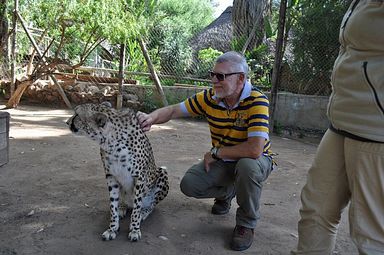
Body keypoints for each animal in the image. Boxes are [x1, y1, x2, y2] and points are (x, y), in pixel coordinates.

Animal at [67, 101, 169, 241]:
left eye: (77, 114)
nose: (67, 122)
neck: (111, 142)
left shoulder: (140, 177)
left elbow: (137, 207)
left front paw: (135, 229)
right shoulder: (111, 176)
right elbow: (113, 205)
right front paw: (112, 228)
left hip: (162, 172)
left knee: (151, 204)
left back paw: (144, 212)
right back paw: (122, 207)